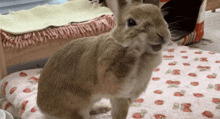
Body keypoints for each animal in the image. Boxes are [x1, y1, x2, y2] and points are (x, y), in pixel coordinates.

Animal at [36, 0, 170, 119]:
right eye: (131, 22)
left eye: (160, 15)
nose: (163, 35)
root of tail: (41, 107)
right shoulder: (113, 83)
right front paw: (135, 48)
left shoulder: (123, 98)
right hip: (76, 107)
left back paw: (103, 108)